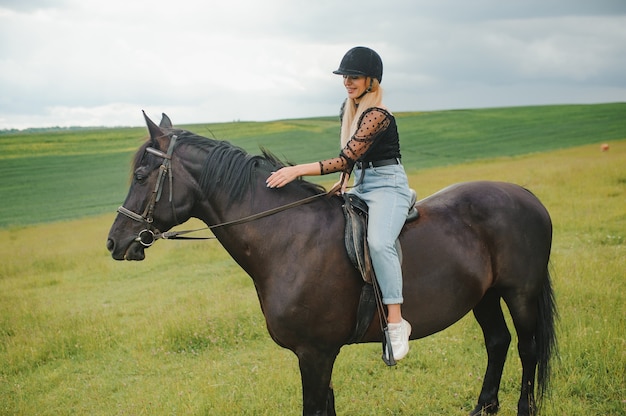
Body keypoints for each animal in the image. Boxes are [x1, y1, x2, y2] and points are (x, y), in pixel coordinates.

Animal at [106, 113, 556, 416]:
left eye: (142, 176)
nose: (115, 241)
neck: (288, 239)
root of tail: (525, 194)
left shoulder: (315, 354)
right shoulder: (318, 356)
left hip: (520, 294)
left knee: (528, 348)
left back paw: (524, 408)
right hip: (485, 295)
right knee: (497, 342)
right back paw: (484, 406)